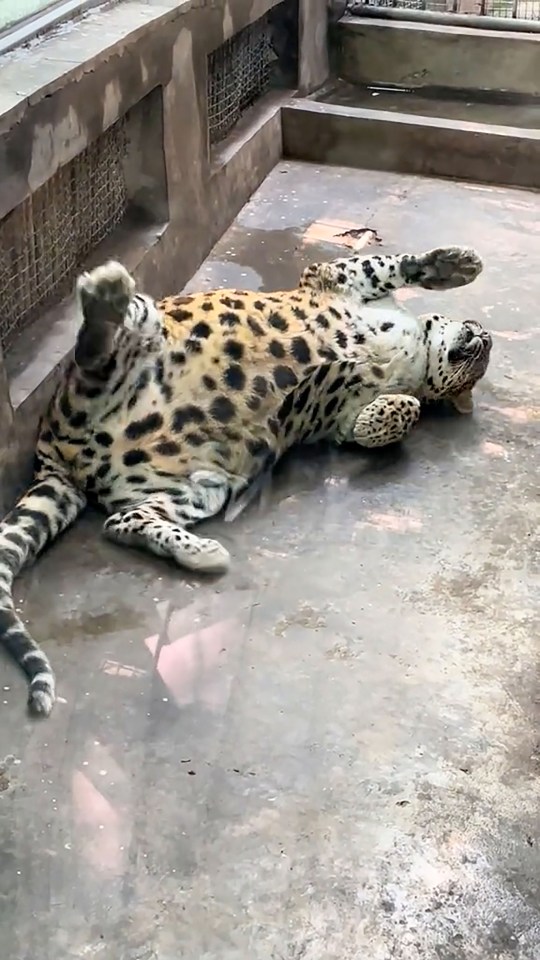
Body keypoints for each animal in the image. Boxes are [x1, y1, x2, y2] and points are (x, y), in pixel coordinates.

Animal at [0, 244, 492, 716]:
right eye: (480, 344)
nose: (483, 340)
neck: (417, 355)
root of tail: (58, 454)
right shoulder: (332, 277)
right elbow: (391, 263)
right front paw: (459, 264)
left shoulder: (342, 420)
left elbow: (394, 413)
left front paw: (386, 411)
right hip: (140, 330)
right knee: (93, 350)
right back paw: (106, 296)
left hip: (196, 488)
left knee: (121, 521)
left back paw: (203, 554)